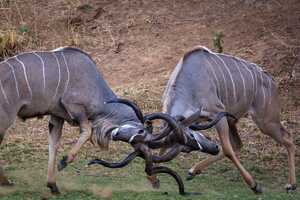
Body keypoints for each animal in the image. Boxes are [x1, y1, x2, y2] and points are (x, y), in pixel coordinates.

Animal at [151, 46, 296, 193]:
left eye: (192, 140)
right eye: (186, 149)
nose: (213, 148)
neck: (190, 81)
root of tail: (271, 80)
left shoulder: (218, 113)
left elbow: (227, 149)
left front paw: (254, 185)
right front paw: (154, 180)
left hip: (266, 121)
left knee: (288, 138)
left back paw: (291, 185)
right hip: (234, 121)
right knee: (238, 144)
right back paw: (193, 171)